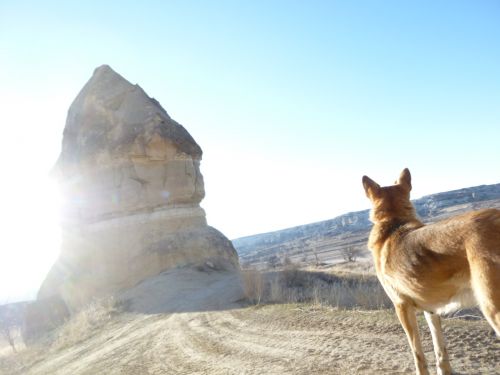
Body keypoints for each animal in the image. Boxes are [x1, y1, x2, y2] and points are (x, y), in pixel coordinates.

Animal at [364, 170, 500, 375]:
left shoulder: (401, 307)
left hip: (491, 308)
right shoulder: (431, 309)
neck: (395, 224)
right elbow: (440, 349)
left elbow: (417, 353)